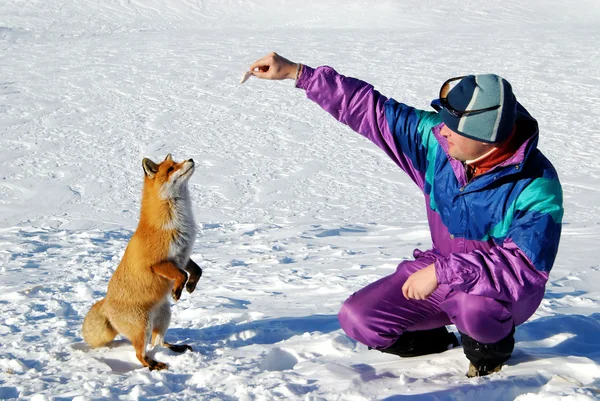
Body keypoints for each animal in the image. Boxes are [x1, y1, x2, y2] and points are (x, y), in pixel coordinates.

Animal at [81, 152, 203, 368]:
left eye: (176, 162)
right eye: (171, 169)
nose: (190, 160)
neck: (175, 221)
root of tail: (106, 303)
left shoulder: (183, 254)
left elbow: (197, 270)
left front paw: (191, 285)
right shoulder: (158, 263)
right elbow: (180, 274)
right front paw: (178, 290)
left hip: (164, 318)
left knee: (158, 343)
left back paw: (176, 348)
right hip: (142, 326)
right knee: (141, 354)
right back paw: (154, 366)